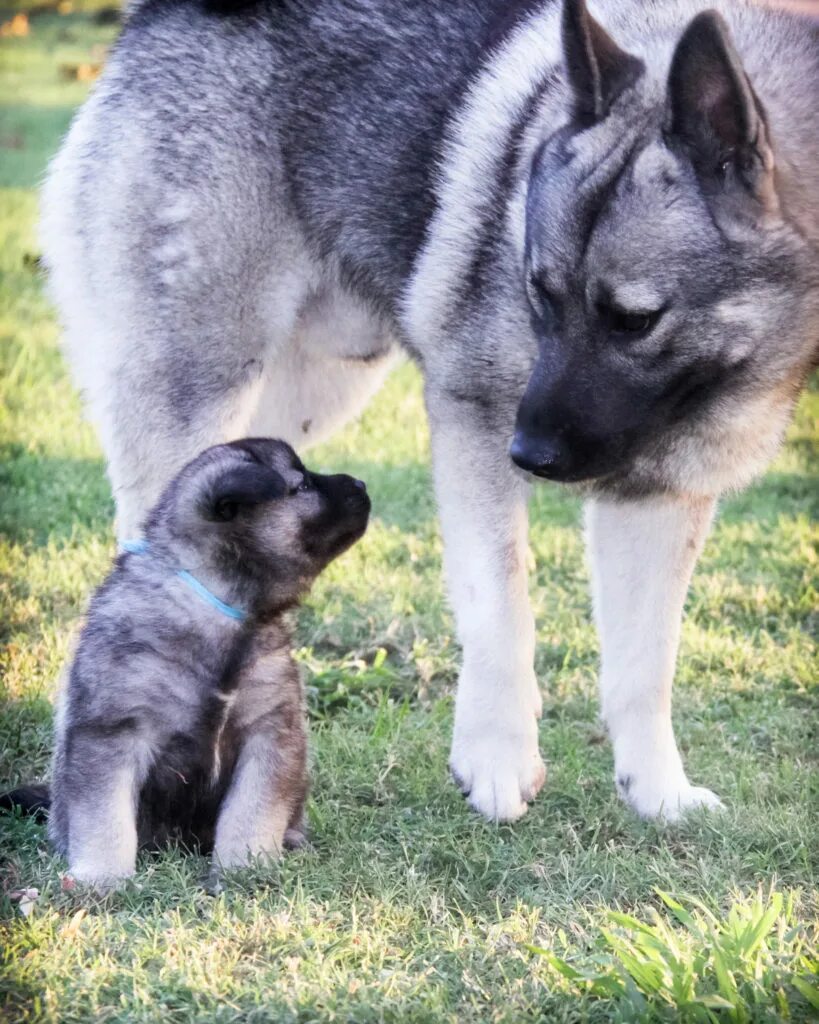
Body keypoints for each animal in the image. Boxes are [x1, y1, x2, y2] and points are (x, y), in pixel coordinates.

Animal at [39, 440, 368, 888]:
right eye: (300, 485)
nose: (362, 484)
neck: (222, 603)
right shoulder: (112, 732)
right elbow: (105, 816)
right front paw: (102, 878)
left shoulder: (268, 730)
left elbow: (252, 810)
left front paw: (245, 867)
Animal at [43, 0, 818, 819]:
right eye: (538, 292)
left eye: (633, 320)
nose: (529, 455)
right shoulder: (472, 423)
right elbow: (500, 606)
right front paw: (497, 758)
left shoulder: (660, 500)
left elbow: (645, 664)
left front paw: (656, 794)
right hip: (200, 386)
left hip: (300, 408)